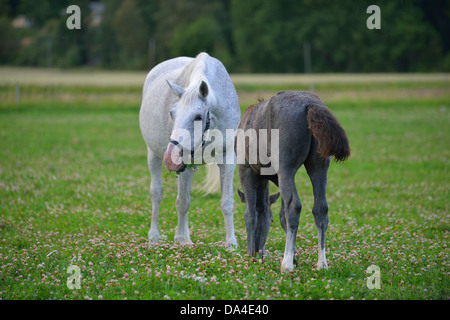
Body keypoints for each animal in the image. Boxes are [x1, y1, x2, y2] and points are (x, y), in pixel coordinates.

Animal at [139, 51, 241, 249]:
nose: (170, 157)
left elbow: (227, 203)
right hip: (153, 155)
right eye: (172, 113)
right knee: (157, 194)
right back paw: (155, 237)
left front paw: (231, 245)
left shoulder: (227, 159)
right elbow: (183, 202)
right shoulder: (184, 164)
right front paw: (181, 240)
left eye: (198, 116)